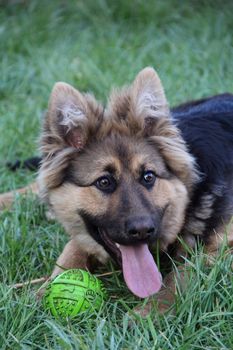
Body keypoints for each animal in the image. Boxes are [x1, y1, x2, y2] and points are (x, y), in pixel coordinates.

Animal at [0, 68, 233, 312]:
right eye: (104, 182)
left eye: (148, 177)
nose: (142, 230)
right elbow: (71, 250)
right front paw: (43, 293)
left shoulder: (224, 248)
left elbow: (182, 276)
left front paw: (147, 313)